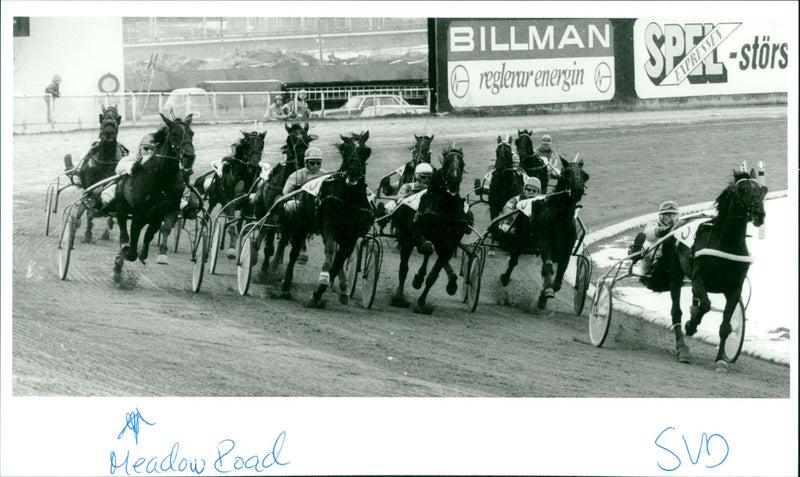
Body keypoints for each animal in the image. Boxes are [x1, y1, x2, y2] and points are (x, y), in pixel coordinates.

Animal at [112, 112, 195, 282]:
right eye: (174, 134)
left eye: (192, 133)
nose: (189, 156)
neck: (161, 179)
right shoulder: (138, 214)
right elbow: (133, 236)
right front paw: (127, 252)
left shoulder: (168, 209)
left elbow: (164, 228)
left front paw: (161, 254)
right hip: (121, 205)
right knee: (123, 228)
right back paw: (122, 253)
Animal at [310, 132, 376, 306]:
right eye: (346, 149)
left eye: (366, 150)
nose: (353, 172)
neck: (349, 200)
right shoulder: (328, 226)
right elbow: (330, 250)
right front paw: (322, 281)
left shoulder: (351, 238)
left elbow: (340, 259)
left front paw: (321, 290)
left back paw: (344, 287)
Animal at [410, 147, 466, 314]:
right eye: (448, 162)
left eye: (462, 164)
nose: (453, 181)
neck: (447, 206)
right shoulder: (424, 229)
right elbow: (427, 248)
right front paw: (418, 279)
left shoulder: (451, 242)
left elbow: (434, 274)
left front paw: (422, 302)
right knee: (427, 248)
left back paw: (452, 282)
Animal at [532, 155, 588, 308]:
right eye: (567, 172)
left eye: (584, 174)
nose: (577, 190)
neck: (560, 221)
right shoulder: (545, 242)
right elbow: (548, 266)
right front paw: (546, 292)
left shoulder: (567, 251)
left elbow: (559, 279)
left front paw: (544, 295)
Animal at [664, 169, 768, 366]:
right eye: (743, 189)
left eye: (763, 190)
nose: (759, 214)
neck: (726, 244)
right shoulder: (698, 278)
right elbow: (705, 305)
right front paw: (692, 324)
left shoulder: (734, 288)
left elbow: (726, 326)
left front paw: (721, 359)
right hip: (675, 275)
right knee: (676, 312)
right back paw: (682, 347)